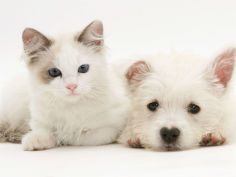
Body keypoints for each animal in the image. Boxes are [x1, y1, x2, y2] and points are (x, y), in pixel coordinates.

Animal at [0, 20, 131, 151]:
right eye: (54, 72)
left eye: (83, 68)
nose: (72, 86)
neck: (70, 109)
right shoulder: (38, 120)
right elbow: (43, 131)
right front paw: (37, 140)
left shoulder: (111, 129)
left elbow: (77, 136)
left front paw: (62, 137)